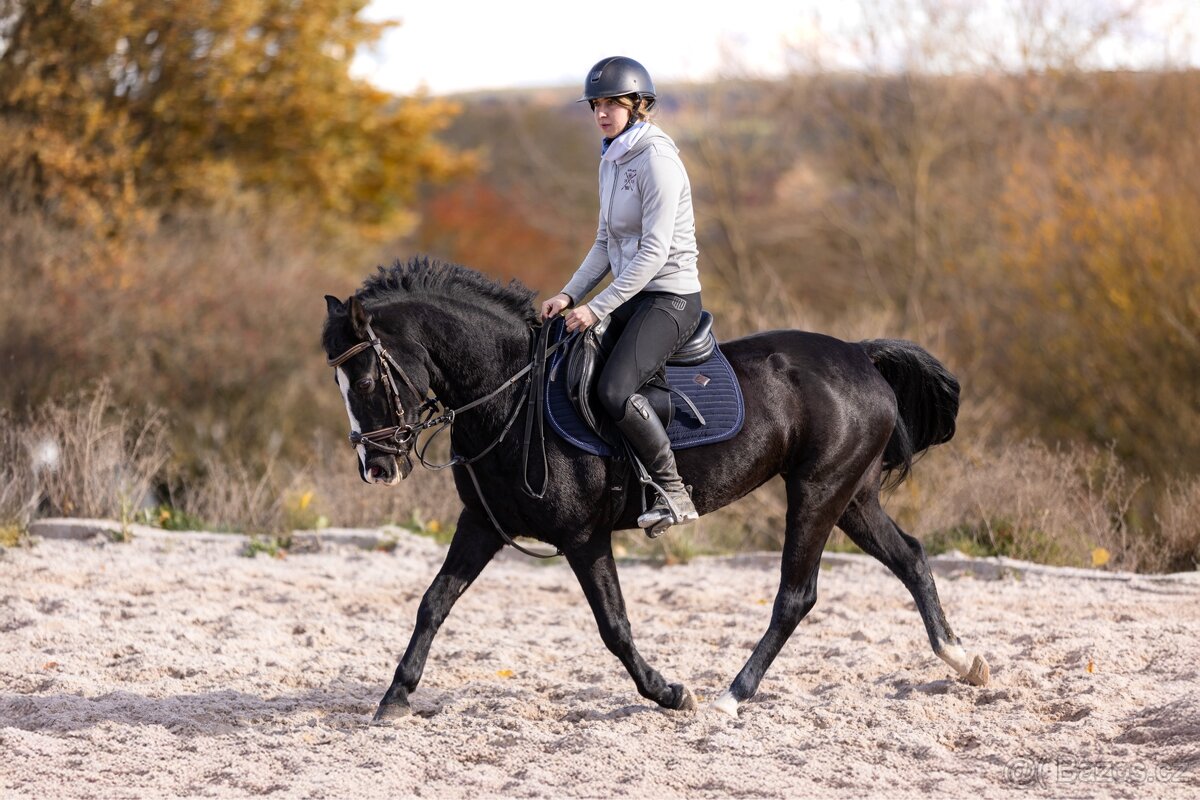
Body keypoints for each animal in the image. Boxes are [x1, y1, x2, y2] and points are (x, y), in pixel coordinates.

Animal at [322, 256, 990, 722]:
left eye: (366, 378)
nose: (376, 468)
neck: (511, 395)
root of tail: (859, 353)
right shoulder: (484, 524)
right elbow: (433, 603)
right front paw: (395, 698)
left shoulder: (582, 536)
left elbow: (613, 626)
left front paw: (670, 694)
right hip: (851, 497)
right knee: (910, 557)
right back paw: (964, 660)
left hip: (817, 493)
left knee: (795, 596)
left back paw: (730, 696)